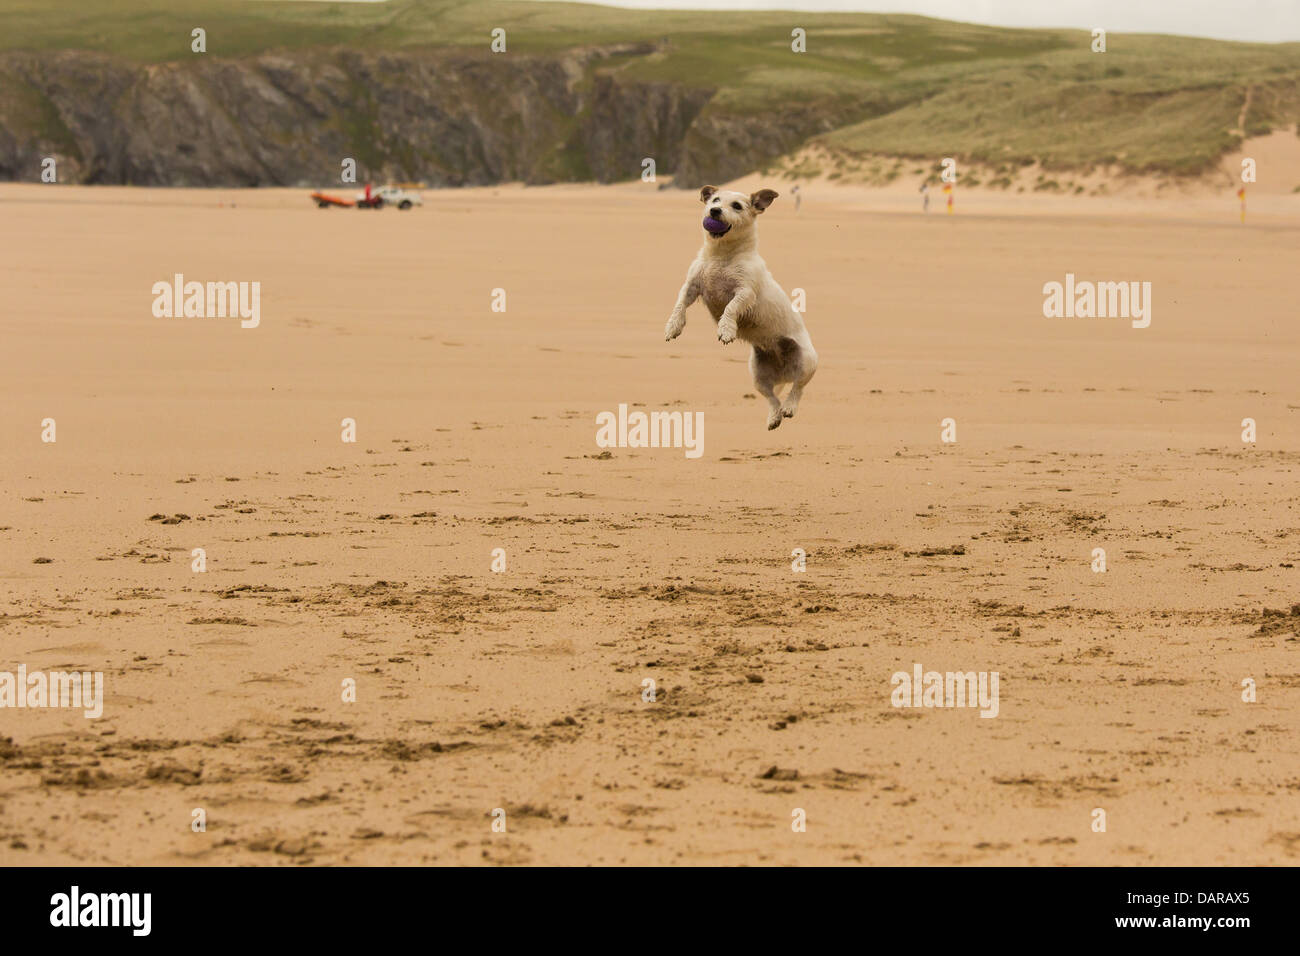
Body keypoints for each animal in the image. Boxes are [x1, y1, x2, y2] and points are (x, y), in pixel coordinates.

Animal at [665, 184, 816, 429]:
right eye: (715, 200)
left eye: (736, 206)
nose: (714, 211)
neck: (720, 256)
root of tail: (783, 373)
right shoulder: (691, 286)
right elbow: (680, 304)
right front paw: (673, 327)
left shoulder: (745, 292)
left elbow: (731, 307)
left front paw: (726, 329)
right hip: (757, 376)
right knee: (771, 397)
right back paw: (774, 417)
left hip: (806, 362)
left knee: (798, 387)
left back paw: (790, 407)